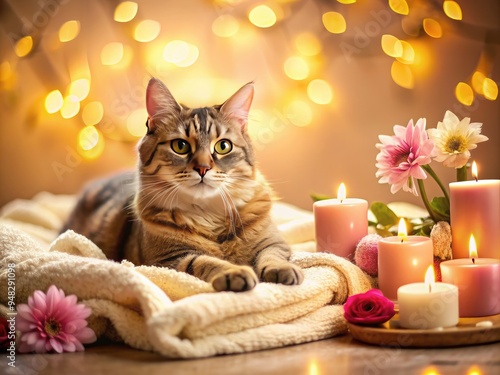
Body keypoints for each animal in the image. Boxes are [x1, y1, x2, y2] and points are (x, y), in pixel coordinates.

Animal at [62, 77, 304, 294]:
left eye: (223, 146)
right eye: (180, 146)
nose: (203, 168)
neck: (209, 214)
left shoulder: (273, 242)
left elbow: (272, 255)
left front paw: (284, 269)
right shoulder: (168, 260)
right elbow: (205, 261)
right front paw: (233, 272)